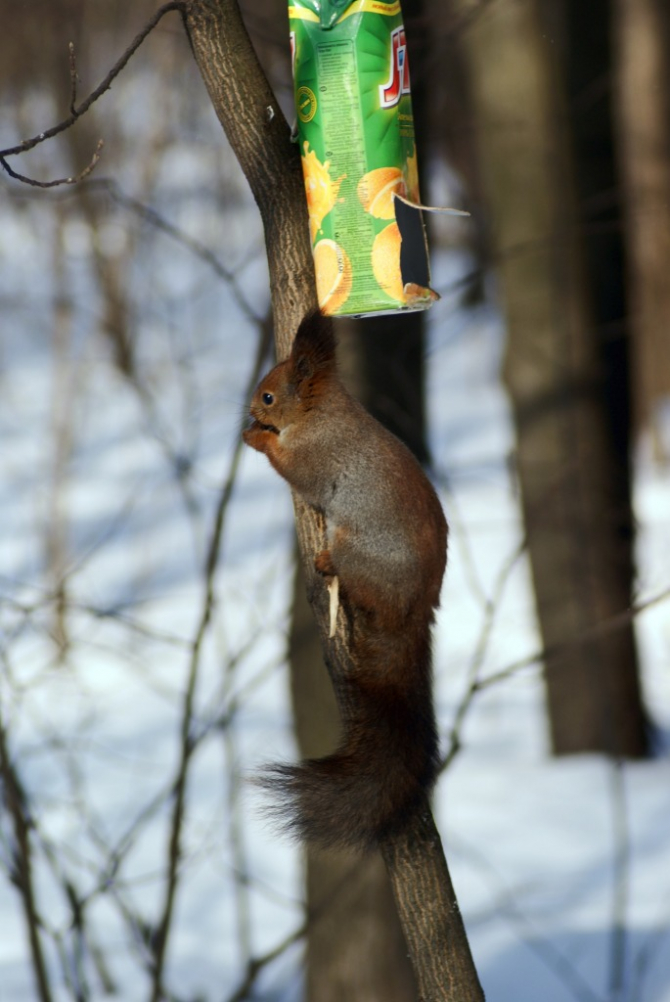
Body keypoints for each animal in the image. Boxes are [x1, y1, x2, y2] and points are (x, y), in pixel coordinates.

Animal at [243, 309, 447, 850]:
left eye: (268, 396)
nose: (248, 409)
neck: (319, 414)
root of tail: (414, 611)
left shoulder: (316, 457)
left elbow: (292, 467)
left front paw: (257, 438)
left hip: (359, 551)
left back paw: (327, 567)